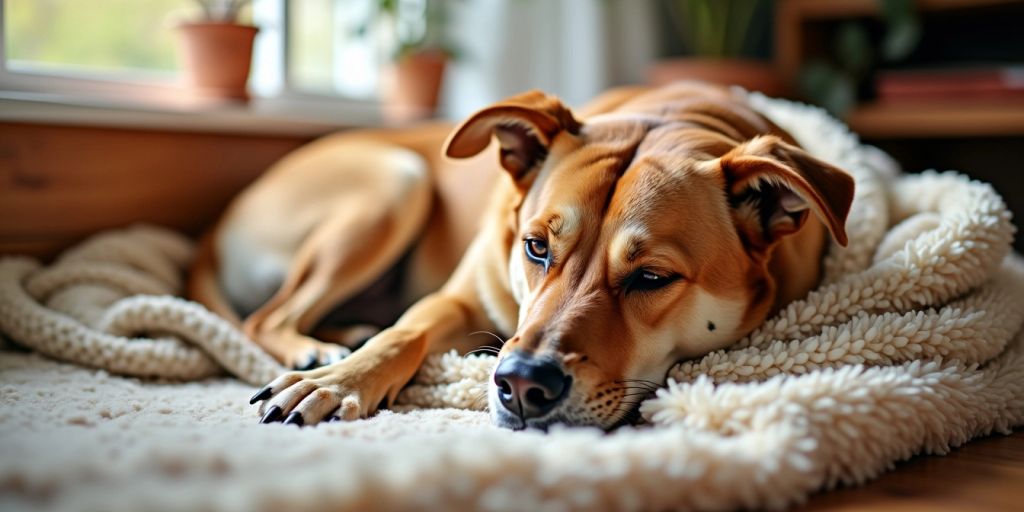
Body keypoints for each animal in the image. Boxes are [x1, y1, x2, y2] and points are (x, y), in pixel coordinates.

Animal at [192, 81, 856, 430]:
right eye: (536, 247)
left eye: (651, 276)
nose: (520, 384)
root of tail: (213, 234)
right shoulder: (458, 297)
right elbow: (404, 332)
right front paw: (338, 380)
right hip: (396, 180)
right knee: (267, 316)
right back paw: (320, 349)